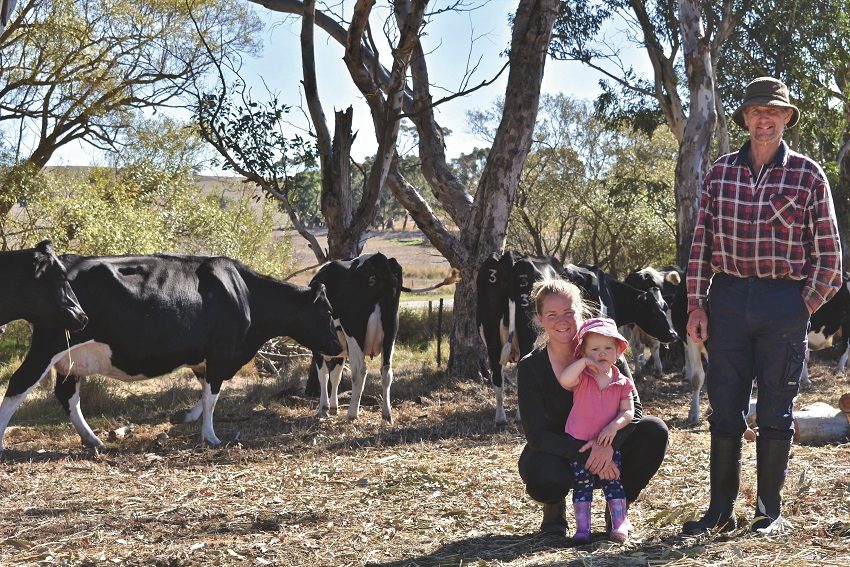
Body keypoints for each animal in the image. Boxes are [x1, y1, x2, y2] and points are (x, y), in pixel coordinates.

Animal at [0, 253, 344, 452]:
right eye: (327, 312)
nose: (338, 347)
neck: (243, 292)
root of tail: (66, 262)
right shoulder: (221, 353)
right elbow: (213, 395)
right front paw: (211, 436)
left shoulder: (204, 358)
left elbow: (205, 393)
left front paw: (184, 417)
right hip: (49, 345)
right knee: (18, 385)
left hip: (69, 359)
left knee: (67, 394)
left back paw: (93, 439)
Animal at [304, 255, 402, 424]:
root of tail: (377, 258)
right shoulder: (341, 349)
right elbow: (336, 376)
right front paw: (333, 407)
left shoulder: (318, 348)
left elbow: (323, 375)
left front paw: (324, 408)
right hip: (391, 332)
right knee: (386, 371)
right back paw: (387, 415)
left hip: (354, 331)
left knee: (360, 371)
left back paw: (351, 414)